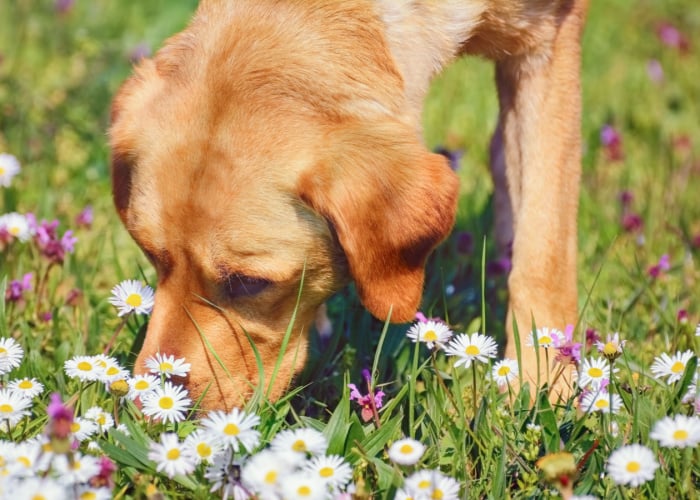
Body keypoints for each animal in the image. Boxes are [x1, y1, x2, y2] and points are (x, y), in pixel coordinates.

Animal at [110, 0, 584, 410]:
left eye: (248, 283)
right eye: (150, 254)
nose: (147, 408)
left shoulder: (549, 38)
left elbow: (544, 254)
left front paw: (543, 385)